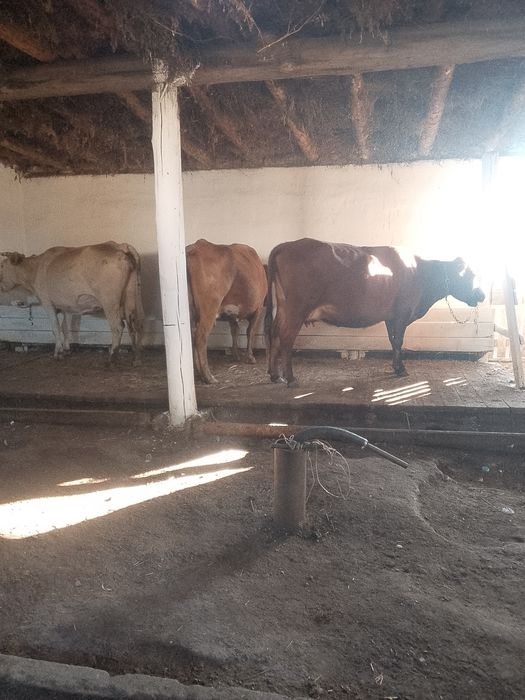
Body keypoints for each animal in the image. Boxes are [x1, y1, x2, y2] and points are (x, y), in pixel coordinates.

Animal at [0, 242, 144, 364]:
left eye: (2, 265)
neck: (35, 269)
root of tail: (119, 246)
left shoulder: (47, 302)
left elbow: (56, 328)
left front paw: (58, 353)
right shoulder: (68, 306)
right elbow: (65, 327)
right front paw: (67, 349)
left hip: (109, 300)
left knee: (118, 326)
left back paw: (112, 358)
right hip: (132, 296)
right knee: (134, 324)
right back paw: (136, 358)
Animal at [186, 239, 267, 384]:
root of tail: (196, 246)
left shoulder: (231, 315)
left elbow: (234, 331)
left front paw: (235, 355)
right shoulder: (258, 308)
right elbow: (250, 332)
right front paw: (250, 357)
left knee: (192, 335)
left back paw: (198, 371)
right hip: (209, 309)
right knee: (200, 337)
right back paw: (208, 376)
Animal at [265, 238, 485, 387]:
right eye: (470, 275)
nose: (482, 294)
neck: (421, 273)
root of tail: (288, 245)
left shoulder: (391, 316)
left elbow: (392, 341)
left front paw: (396, 367)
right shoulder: (402, 313)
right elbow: (399, 341)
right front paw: (401, 369)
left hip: (283, 306)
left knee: (274, 333)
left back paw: (274, 375)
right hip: (296, 308)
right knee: (286, 337)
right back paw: (290, 378)